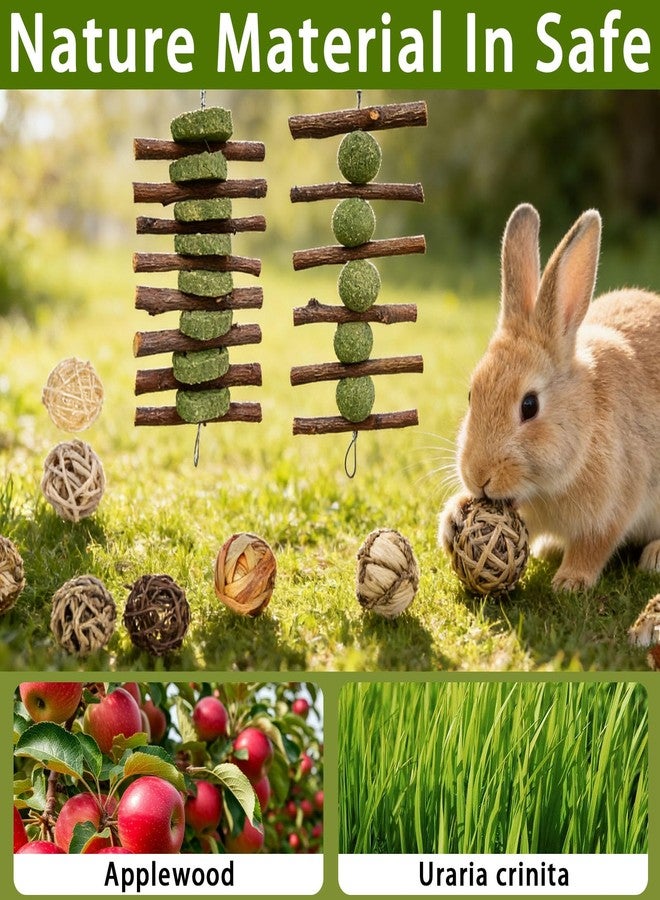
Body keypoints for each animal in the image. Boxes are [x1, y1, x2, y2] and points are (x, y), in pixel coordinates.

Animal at [439, 203, 660, 592]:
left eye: (529, 406)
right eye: (471, 394)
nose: (477, 476)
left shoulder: (615, 504)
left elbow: (594, 544)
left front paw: (570, 582)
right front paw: (452, 520)